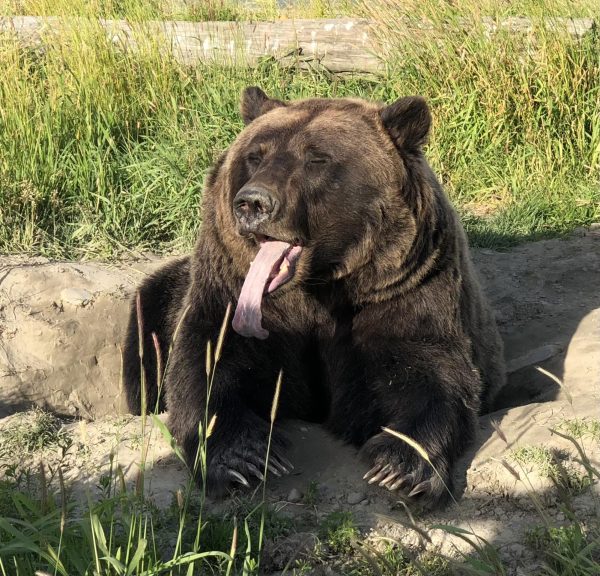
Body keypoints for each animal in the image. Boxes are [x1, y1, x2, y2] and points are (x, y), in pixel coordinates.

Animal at [123, 86, 506, 508]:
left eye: (317, 159)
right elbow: (209, 362)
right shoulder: (236, 293)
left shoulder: (406, 288)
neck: (318, 285)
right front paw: (243, 460)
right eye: (255, 155)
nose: (253, 202)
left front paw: (402, 466)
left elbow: (430, 372)